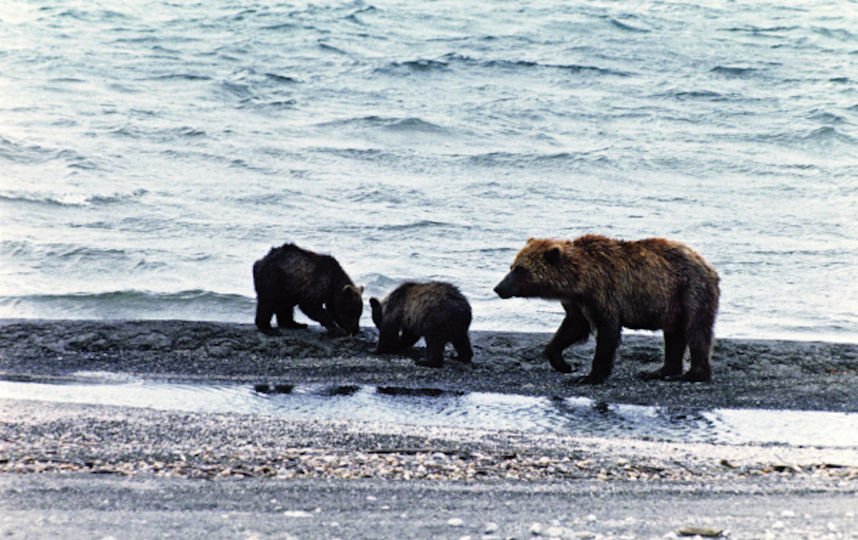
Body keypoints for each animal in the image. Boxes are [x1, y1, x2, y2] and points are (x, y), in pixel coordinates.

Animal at [492, 235, 720, 384]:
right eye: (511, 266)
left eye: (520, 269)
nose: (498, 288)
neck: (579, 280)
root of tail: (708, 264)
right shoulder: (577, 302)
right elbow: (572, 327)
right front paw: (564, 364)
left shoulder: (604, 292)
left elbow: (607, 331)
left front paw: (589, 376)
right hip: (672, 303)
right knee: (673, 334)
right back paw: (659, 371)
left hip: (690, 289)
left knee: (696, 330)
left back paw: (692, 374)